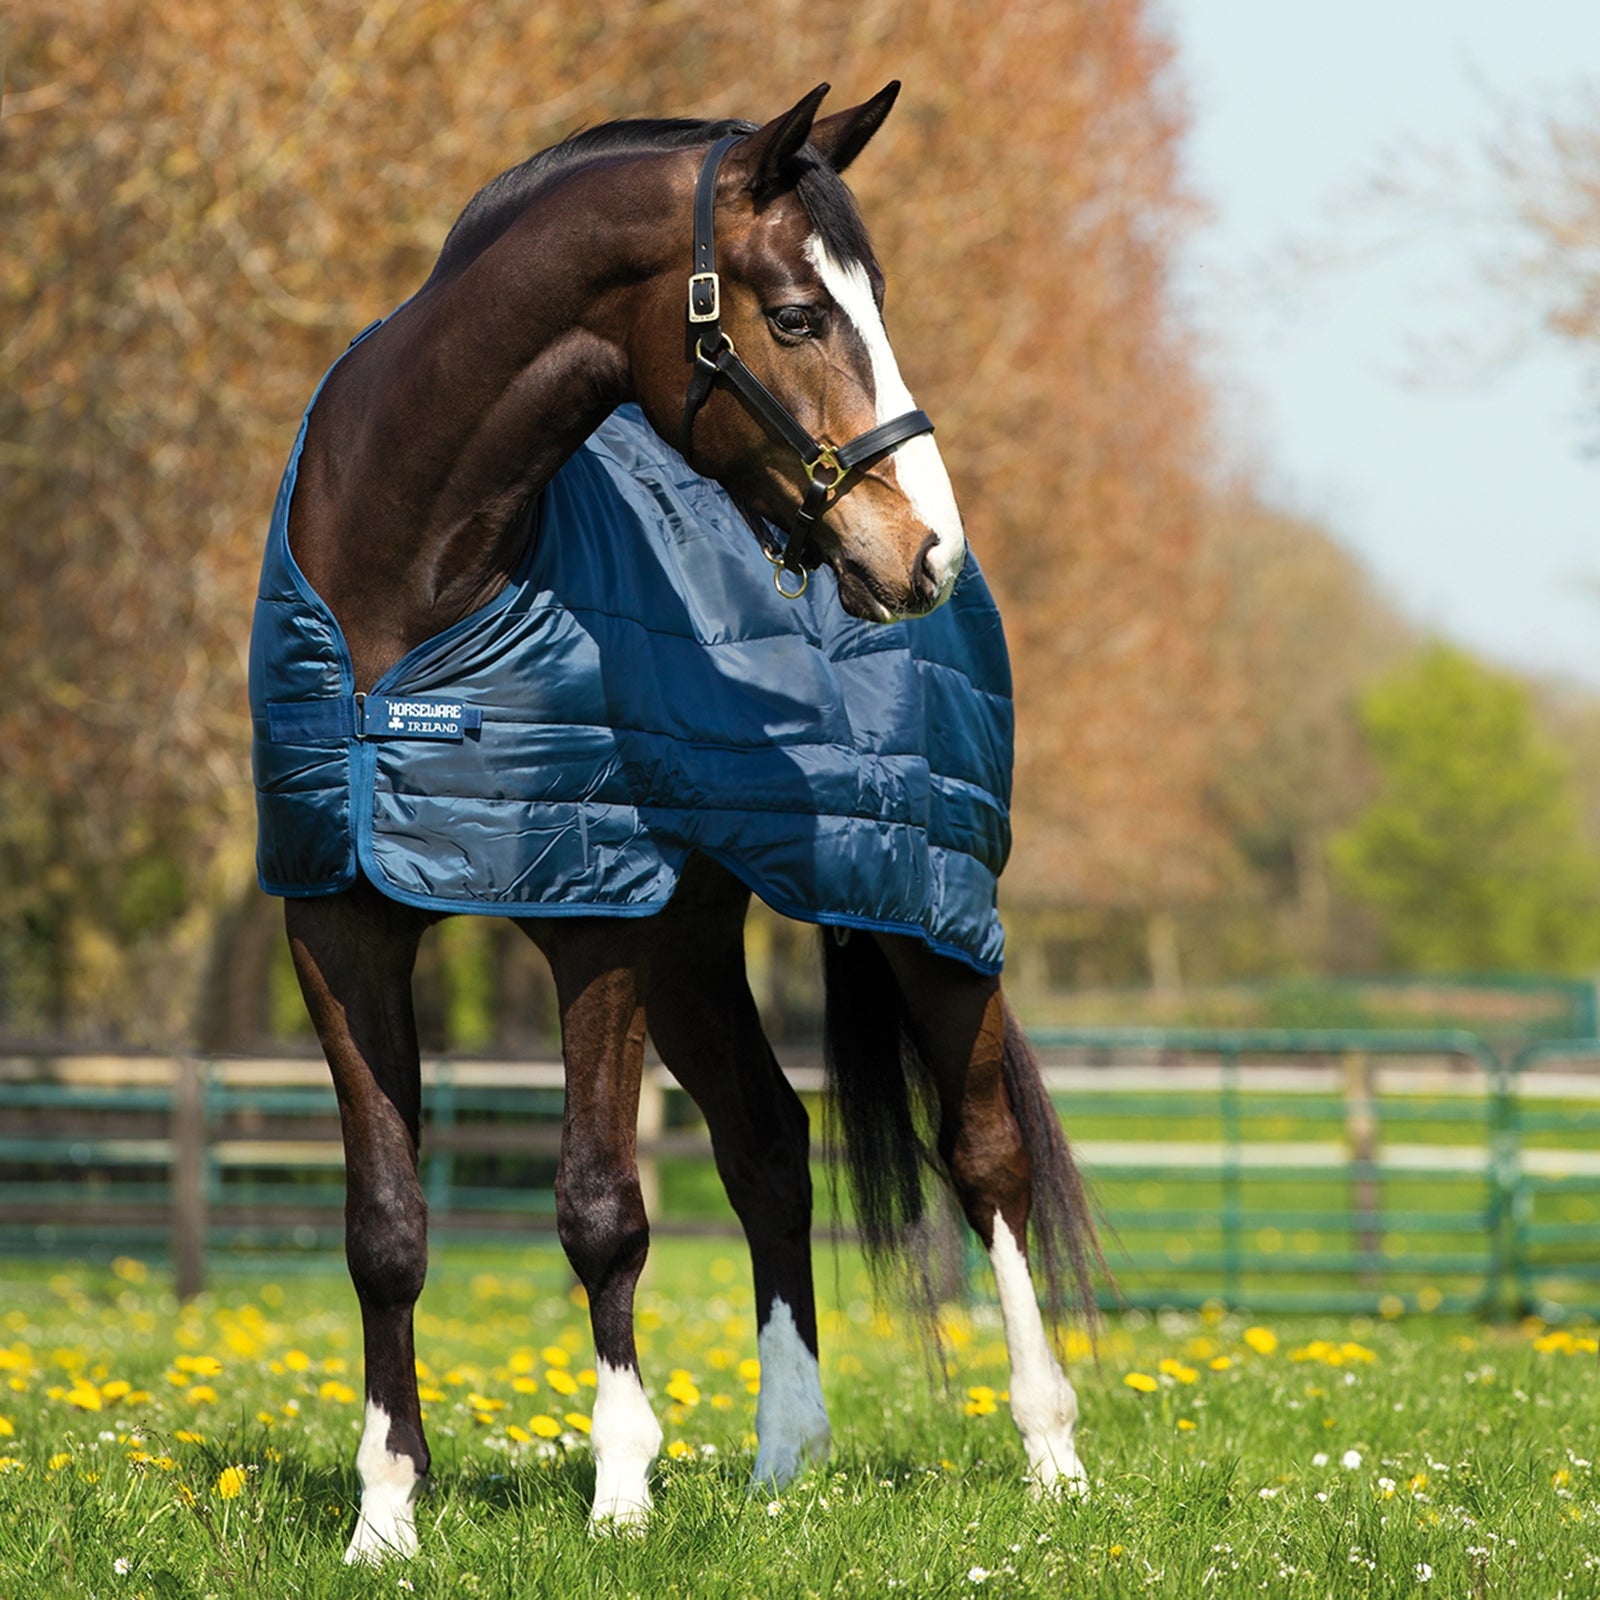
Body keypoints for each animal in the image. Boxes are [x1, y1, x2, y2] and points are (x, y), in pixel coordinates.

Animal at [260, 83, 1100, 1563]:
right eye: (799, 316)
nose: (925, 552)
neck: (409, 587)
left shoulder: (591, 918)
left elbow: (601, 1207)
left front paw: (620, 1495)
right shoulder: (340, 918)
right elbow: (385, 1224)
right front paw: (386, 1515)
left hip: (924, 905)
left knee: (985, 1156)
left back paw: (1049, 1453)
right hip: (698, 944)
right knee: (769, 1147)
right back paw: (784, 1461)